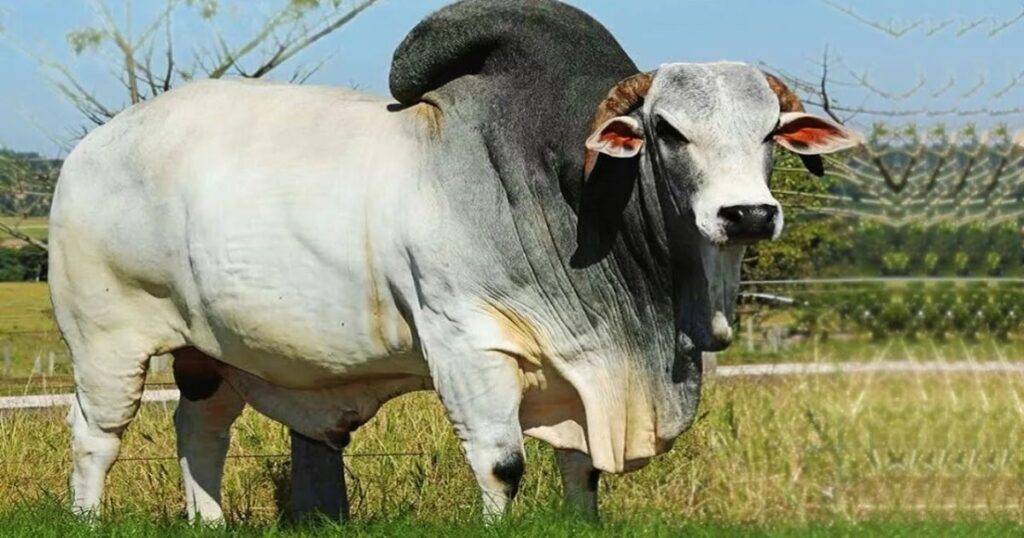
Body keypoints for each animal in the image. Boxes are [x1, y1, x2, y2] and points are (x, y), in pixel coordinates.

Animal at [48, 0, 861, 522]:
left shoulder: (581, 376)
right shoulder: (469, 346)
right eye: (667, 129)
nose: (747, 214)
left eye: (771, 131)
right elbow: (501, 466)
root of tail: (91, 148)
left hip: (209, 351)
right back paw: (88, 518)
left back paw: (209, 521)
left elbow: (582, 473)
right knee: (96, 436)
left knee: (201, 431)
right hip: (106, 340)